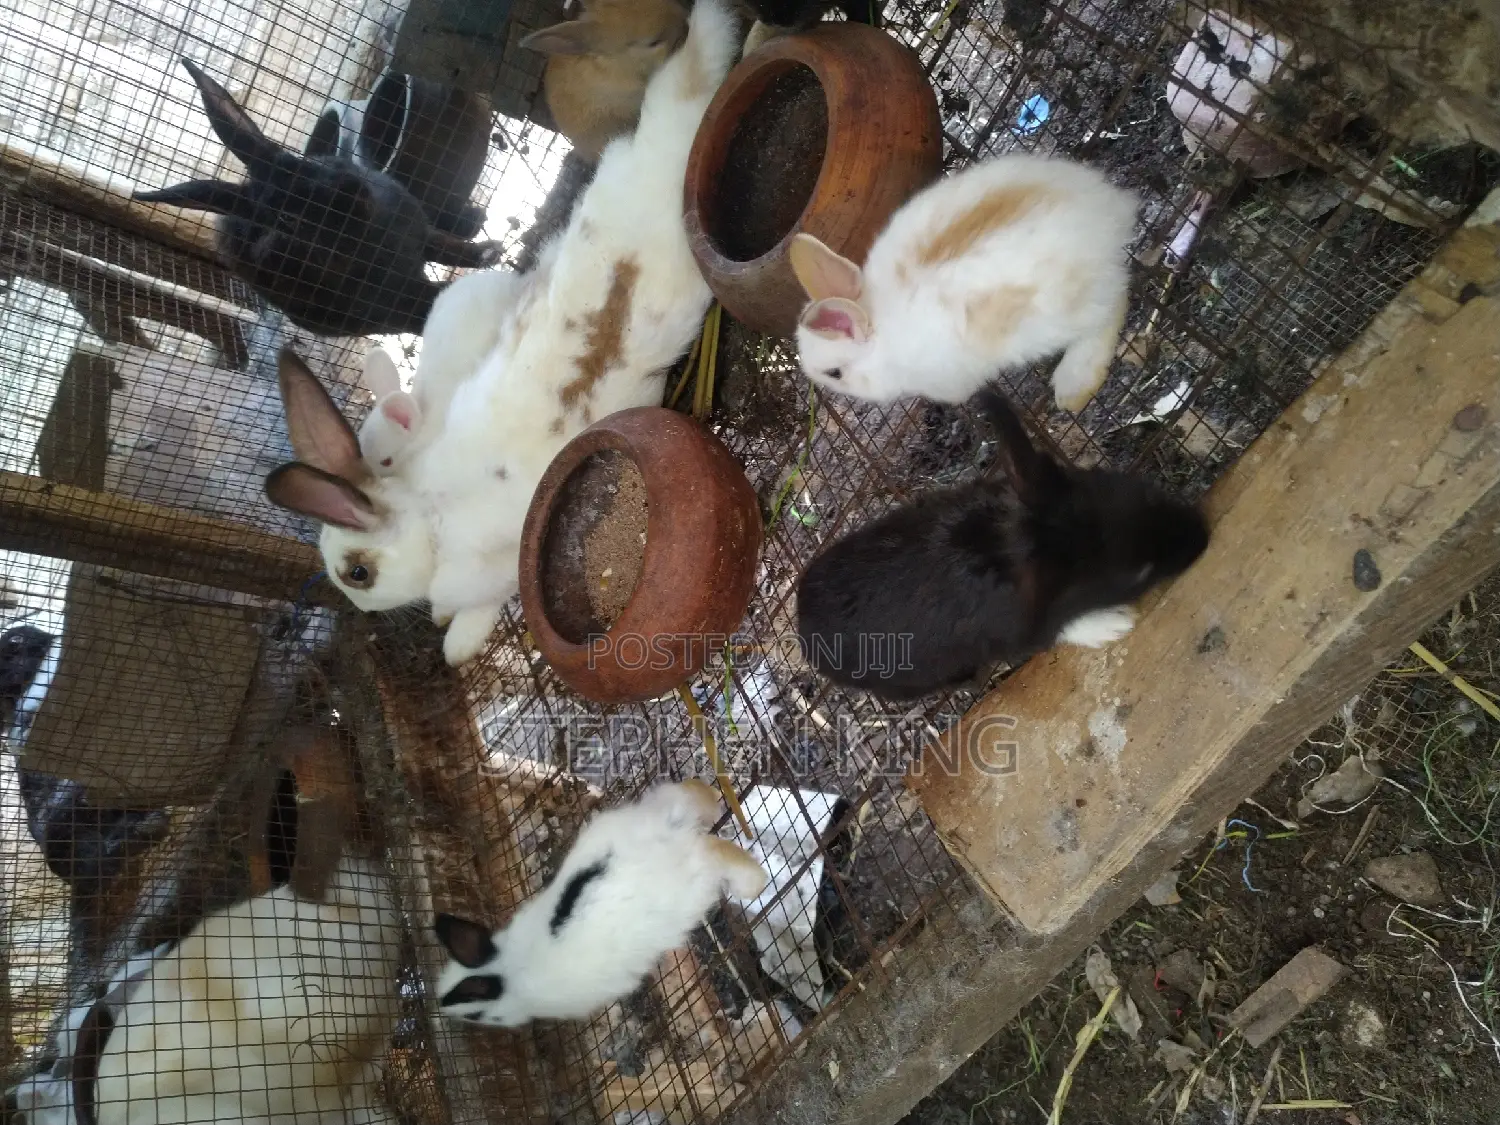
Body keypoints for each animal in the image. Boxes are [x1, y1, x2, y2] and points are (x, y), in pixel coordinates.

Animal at [133, 57, 503, 338]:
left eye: (304, 163)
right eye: (286, 218)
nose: (349, 188)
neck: (373, 237)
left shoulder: (418, 231)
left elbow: (445, 248)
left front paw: (489, 251)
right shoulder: (394, 299)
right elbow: (434, 294)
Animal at [432, 779, 768, 1027]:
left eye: (476, 1014)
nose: (442, 1011)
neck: (506, 969)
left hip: (692, 886)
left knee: (716, 852)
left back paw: (756, 883)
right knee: (691, 797)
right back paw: (714, 796)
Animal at [788, 152, 1139, 413]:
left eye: (835, 373)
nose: (820, 382)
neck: (880, 329)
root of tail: (1112, 214)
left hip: (1066, 313)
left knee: (1115, 305)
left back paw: (1074, 385)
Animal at [796, 387, 1209, 699]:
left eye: (1142, 493)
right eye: (1138, 573)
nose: (1201, 536)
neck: (1005, 542)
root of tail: (802, 626)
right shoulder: (1020, 628)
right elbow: (1055, 631)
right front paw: (1113, 624)